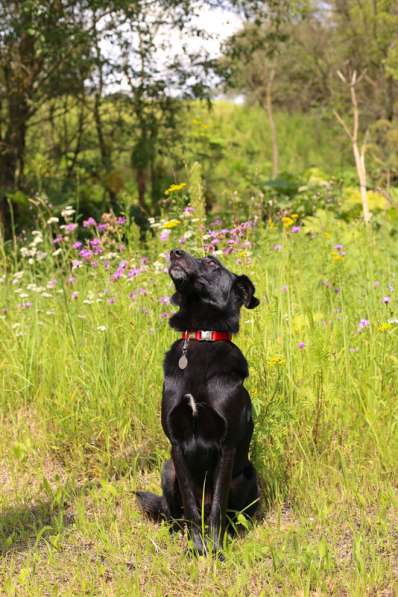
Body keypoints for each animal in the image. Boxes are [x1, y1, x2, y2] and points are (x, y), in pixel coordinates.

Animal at [137, 248, 262, 556]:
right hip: (167, 470)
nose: (175, 252)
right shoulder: (177, 445)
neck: (201, 338)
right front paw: (196, 548)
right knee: (176, 514)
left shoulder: (226, 446)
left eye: (211, 263)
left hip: (248, 476)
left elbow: (217, 507)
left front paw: (215, 549)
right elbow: (191, 509)